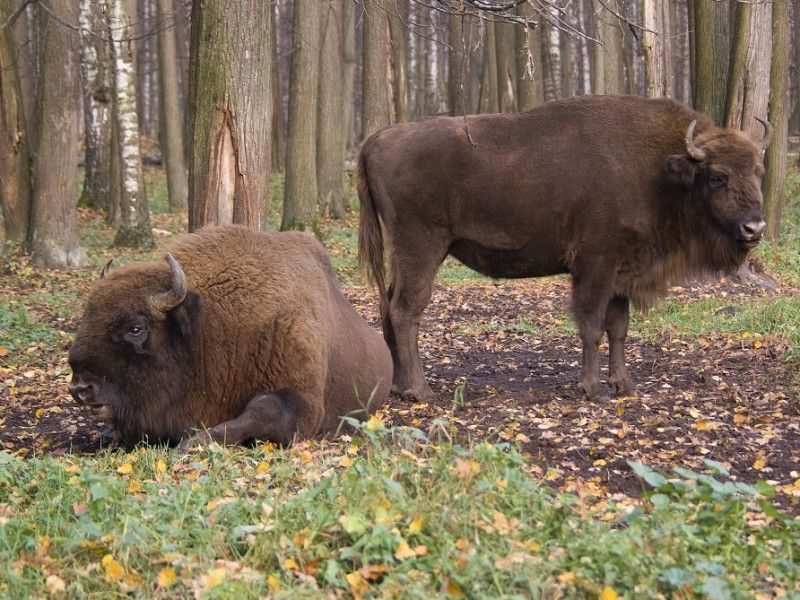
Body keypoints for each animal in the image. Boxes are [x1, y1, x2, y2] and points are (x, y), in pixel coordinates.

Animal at [69, 226, 394, 450]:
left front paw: (193, 442)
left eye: (136, 328)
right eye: (87, 315)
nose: (80, 388)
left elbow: (262, 409)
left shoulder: (303, 403)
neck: (208, 327)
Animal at [360, 95, 772, 404]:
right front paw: (592, 389)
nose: (755, 228)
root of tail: (375, 139)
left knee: (389, 306)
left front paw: (623, 384)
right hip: (422, 247)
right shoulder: (595, 267)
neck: (659, 171)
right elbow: (591, 326)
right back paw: (420, 391)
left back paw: (397, 387)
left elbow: (618, 328)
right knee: (406, 311)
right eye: (717, 176)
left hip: (407, 253)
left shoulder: (623, 271)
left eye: (758, 171)